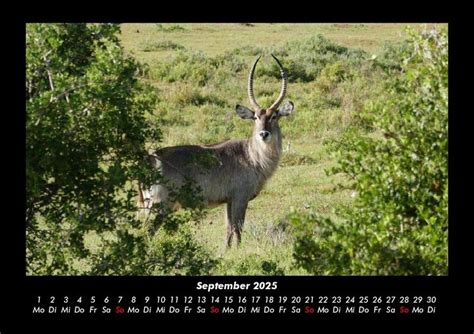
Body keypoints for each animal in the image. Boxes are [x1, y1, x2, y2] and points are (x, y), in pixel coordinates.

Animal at [138, 54, 292, 247]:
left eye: (274, 116)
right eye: (256, 117)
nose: (264, 134)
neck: (252, 156)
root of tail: (151, 158)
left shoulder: (229, 201)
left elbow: (228, 230)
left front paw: (227, 251)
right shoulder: (240, 198)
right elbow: (238, 228)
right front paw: (239, 250)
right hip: (160, 206)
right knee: (146, 232)